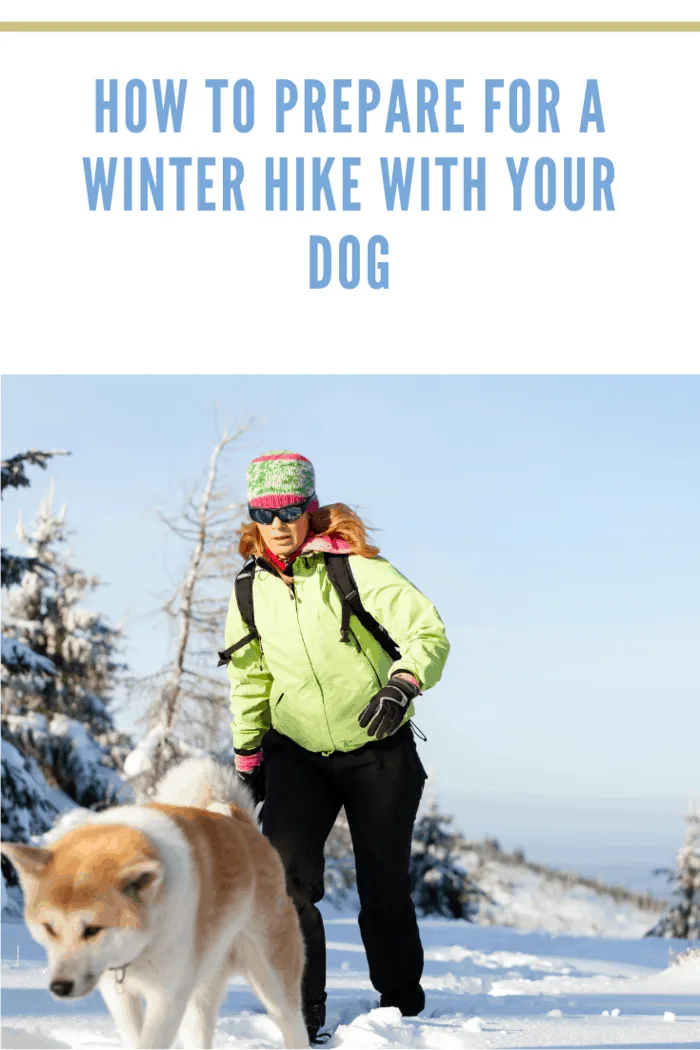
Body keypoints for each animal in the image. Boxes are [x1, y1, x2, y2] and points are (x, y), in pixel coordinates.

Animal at [0, 760, 306, 1045]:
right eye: (49, 928)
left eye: (92, 930)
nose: (60, 987)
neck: (142, 943)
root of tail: (237, 819)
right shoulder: (118, 992)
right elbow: (134, 1035)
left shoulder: (167, 996)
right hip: (201, 997)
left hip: (273, 982)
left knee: (293, 1025)